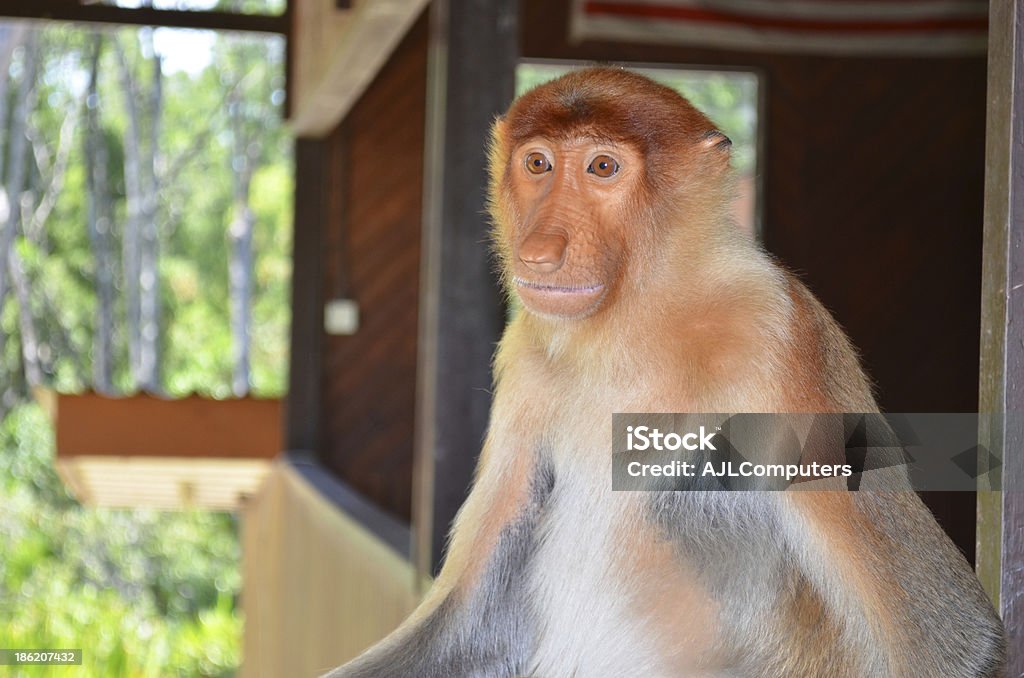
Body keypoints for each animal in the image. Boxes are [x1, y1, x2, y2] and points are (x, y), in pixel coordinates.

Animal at [325, 66, 999, 675]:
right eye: (538, 163)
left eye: (603, 168)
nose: (539, 252)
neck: (637, 320)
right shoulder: (526, 359)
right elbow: (471, 621)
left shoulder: (779, 335)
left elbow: (957, 639)